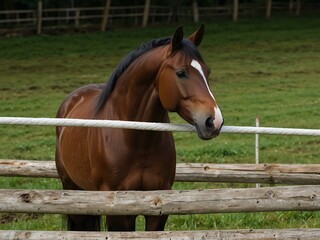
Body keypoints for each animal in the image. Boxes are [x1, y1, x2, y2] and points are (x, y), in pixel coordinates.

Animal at [55, 24, 224, 232]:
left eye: (207, 72)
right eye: (181, 72)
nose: (214, 121)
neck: (137, 141)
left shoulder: (158, 206)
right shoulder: (120, 212)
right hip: (72, 191)